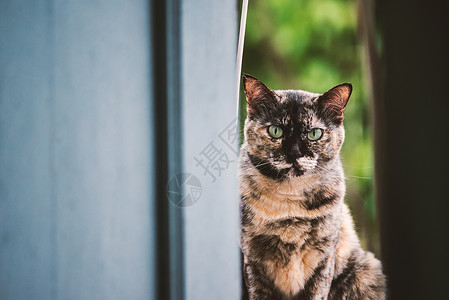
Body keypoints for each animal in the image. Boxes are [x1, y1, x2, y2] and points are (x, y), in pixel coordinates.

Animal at [238, 74, 384, 298]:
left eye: (314, 133)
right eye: (275, 130)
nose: (294, 153)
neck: (289, 202)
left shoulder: (324, 259)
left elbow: (317, 291)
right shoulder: (253, 259)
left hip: (365, 271)